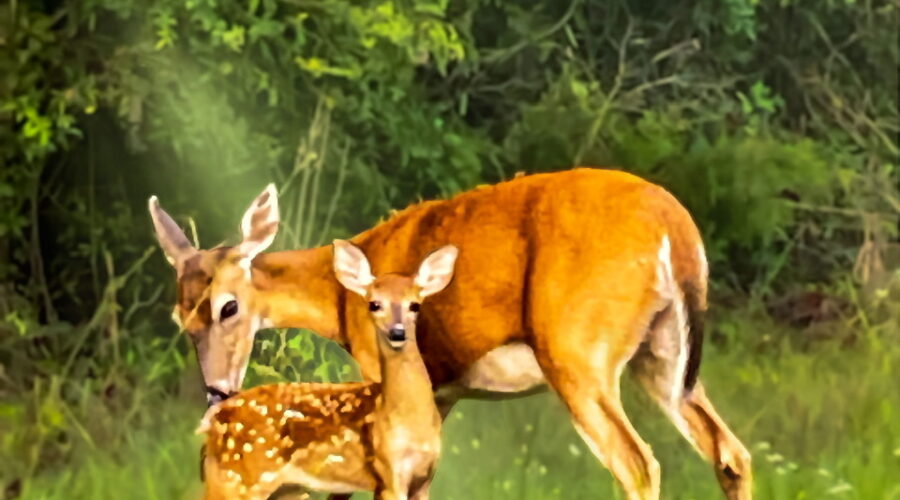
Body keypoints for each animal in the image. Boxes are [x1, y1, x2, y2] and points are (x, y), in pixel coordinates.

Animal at [198, 241, 456, 500]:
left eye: (415, 305)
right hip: (238, 479)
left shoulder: (424, 479)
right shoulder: (387, 475)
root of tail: (212, 424)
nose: (397, 333)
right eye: (374, 304)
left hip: (283, 488)